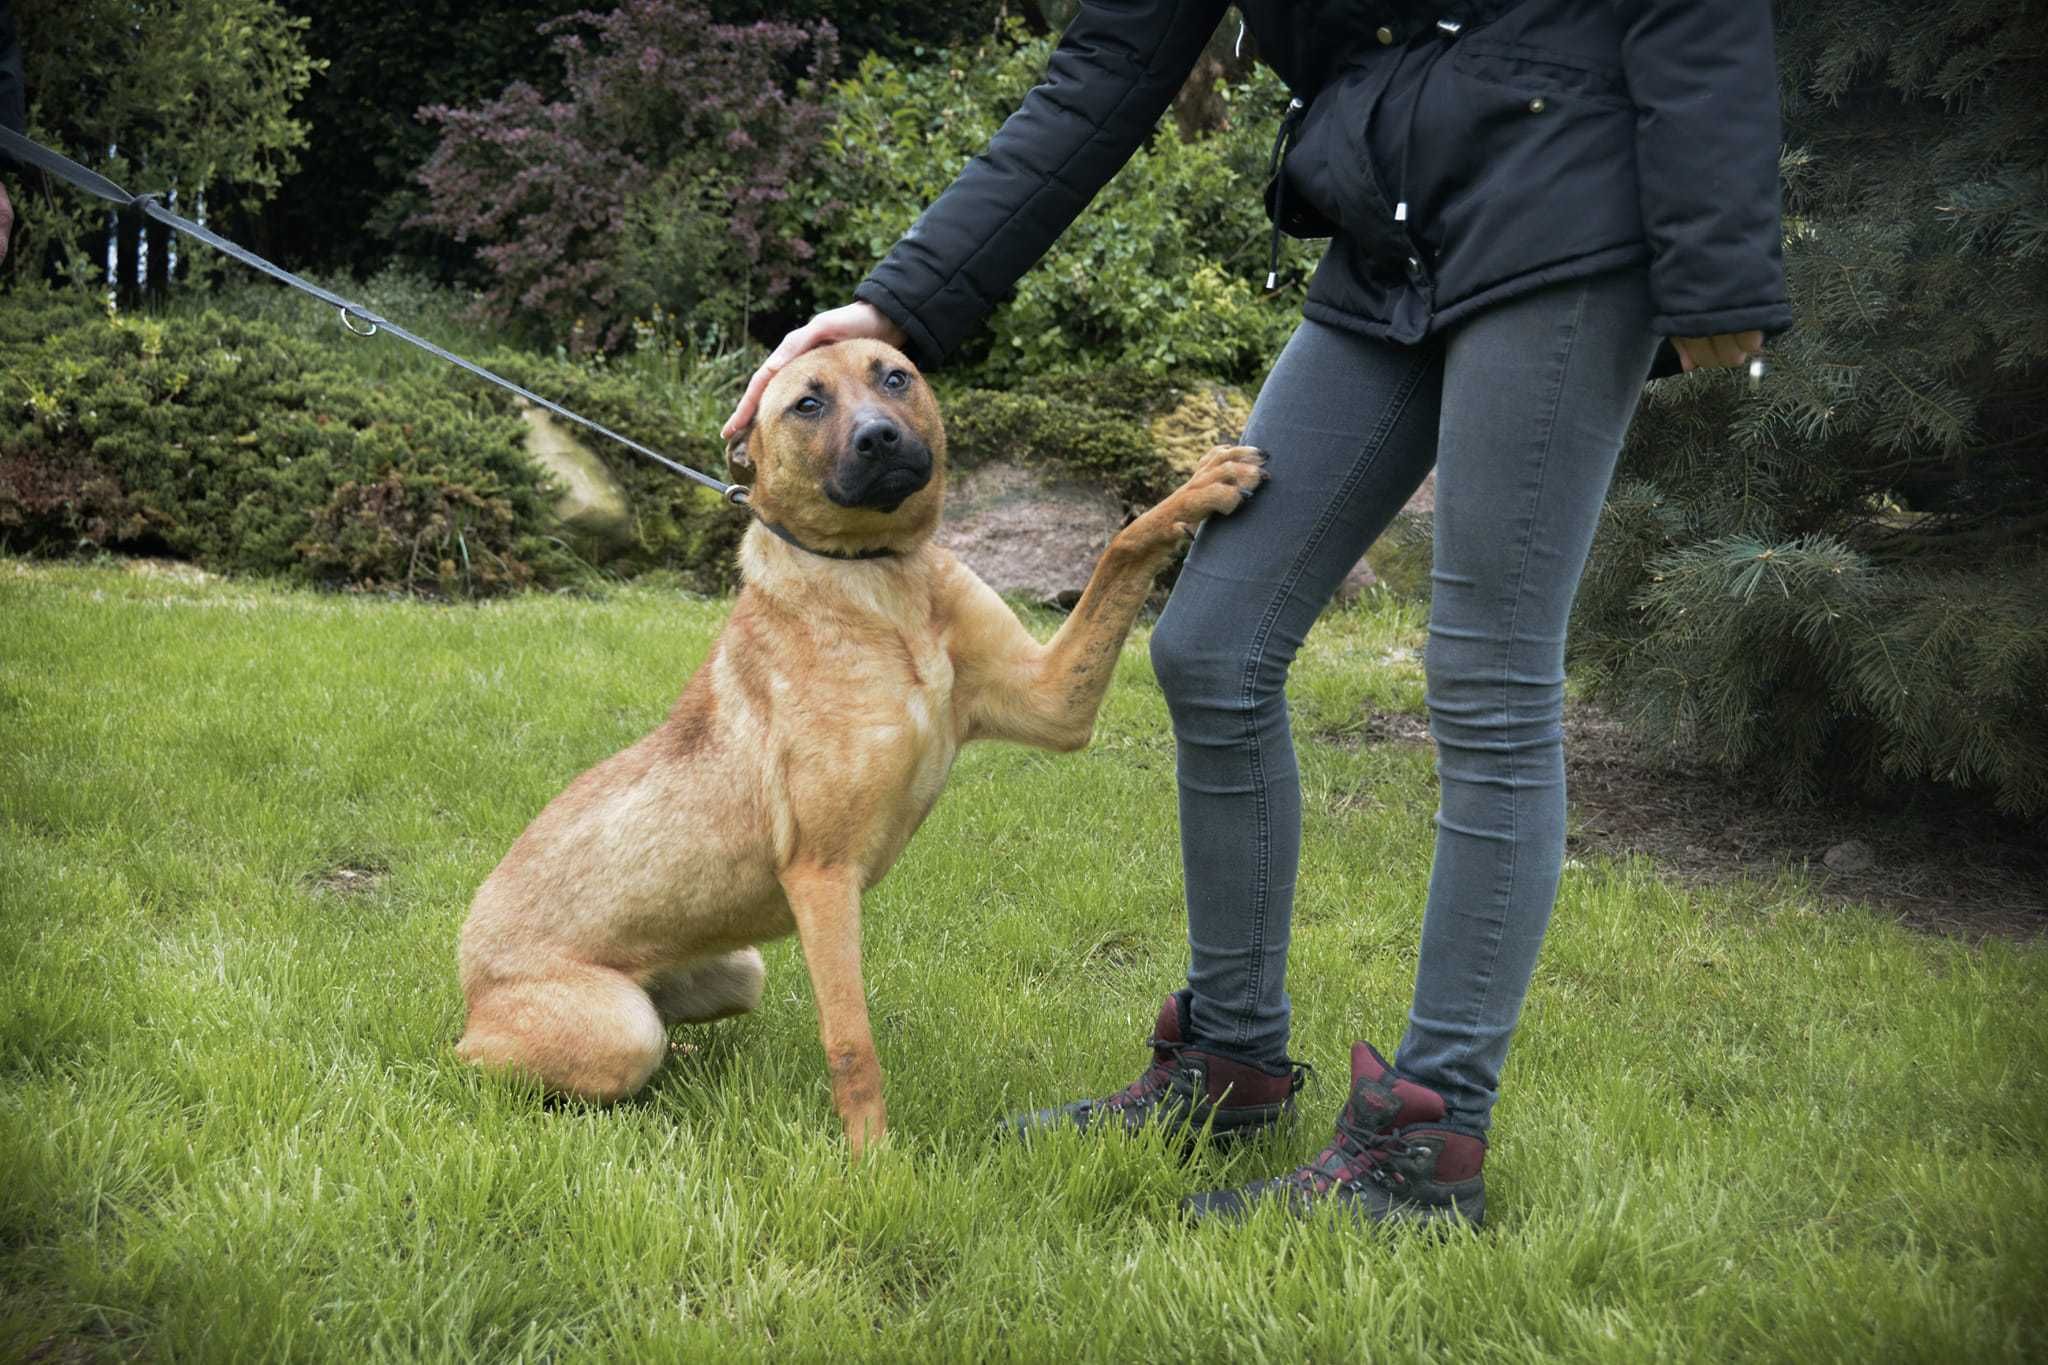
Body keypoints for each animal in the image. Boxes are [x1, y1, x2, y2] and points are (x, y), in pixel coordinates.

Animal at [456, 341, 1261, 1154]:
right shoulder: (823, 873)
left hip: (739, 969)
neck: (876, 575)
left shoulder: (1052, 700)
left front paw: (1196, 489)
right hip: (615, 1028)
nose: (879, 437)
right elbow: (852, 1043)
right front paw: (871, 1162)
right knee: (499, 1062)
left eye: (894, 376)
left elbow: (1120, 550)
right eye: (806, 404)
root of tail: (468, 962)